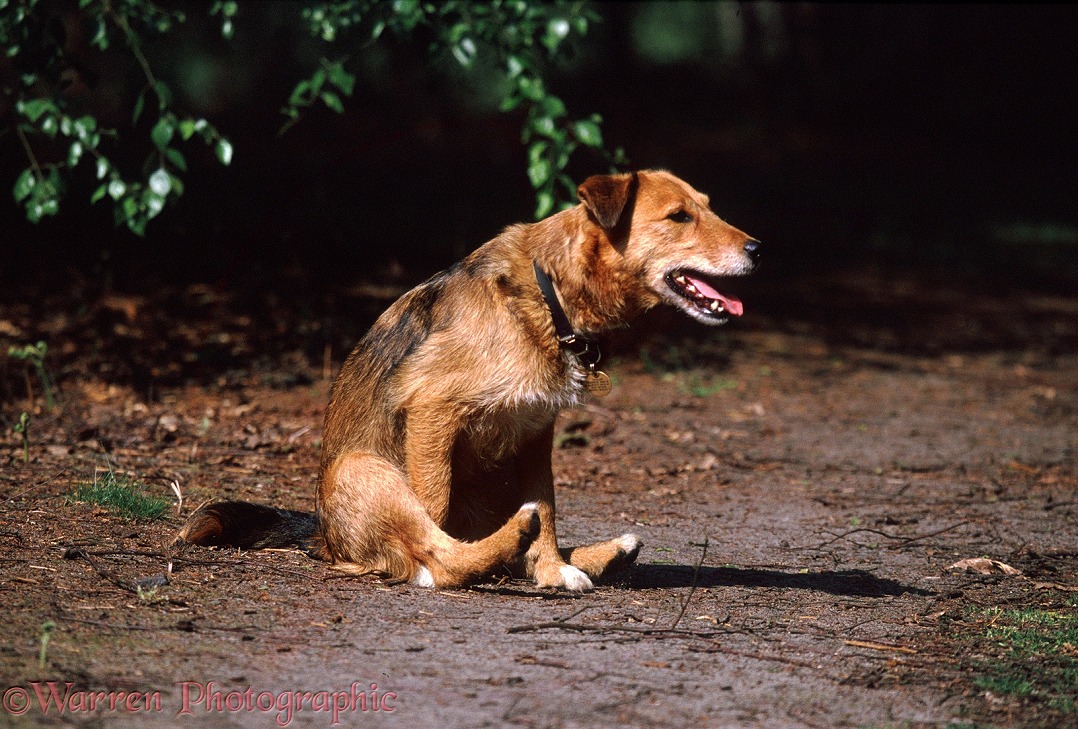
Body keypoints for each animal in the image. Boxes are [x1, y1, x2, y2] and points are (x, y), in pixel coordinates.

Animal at [181, 170, 758, 590]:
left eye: (708, 207)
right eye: (679, 216)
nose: (757, 249)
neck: (548, 295)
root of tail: (324, 539)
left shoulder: (535, 435)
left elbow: (550, 509)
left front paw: (553, 570)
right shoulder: (432, 410)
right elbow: (432, 518)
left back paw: (600, 554)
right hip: (363, 468)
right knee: (439, 554)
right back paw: (505, 544)